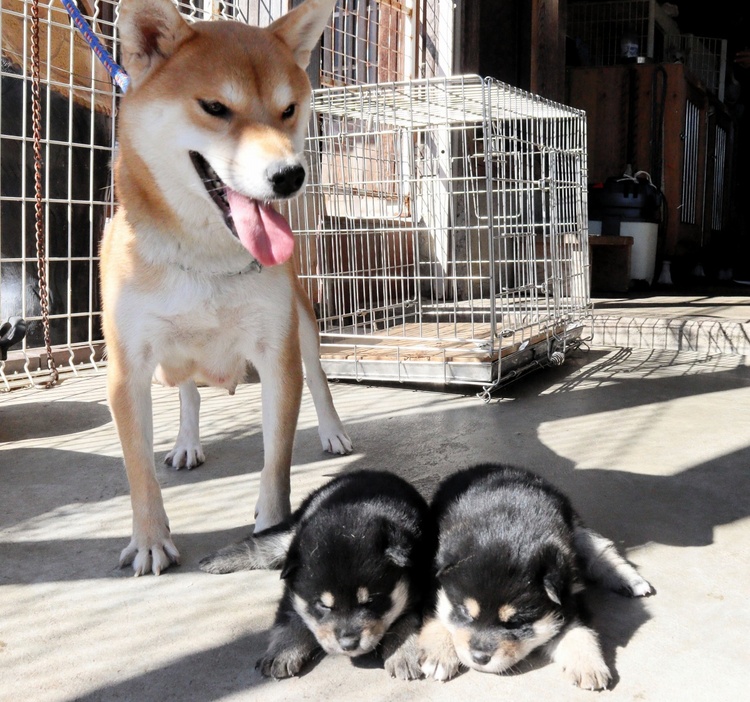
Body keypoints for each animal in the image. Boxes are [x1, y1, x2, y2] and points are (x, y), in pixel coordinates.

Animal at [100, 0, 352, 576]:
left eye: (288, 109)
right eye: (215, 107)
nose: (290, 175)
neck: (204, 260)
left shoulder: (277, 355)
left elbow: (276, 463)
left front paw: (271, 529)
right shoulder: (128, 369)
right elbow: (138, 470)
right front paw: (150, 539)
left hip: (304, 324)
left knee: (320, 379)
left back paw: (331, 430)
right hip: (170, 362)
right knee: (189, 393)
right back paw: (187, 443)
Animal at [200, 472, 438, 680]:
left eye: (370, 601)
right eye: (323, 605)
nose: (348, 644)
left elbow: (406, 620)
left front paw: (403, 652)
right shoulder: (292, 587)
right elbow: (290, 616)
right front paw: (282, 651)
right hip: (288, 537)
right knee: (262, 546)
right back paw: (215, 560)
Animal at [420, 464, 656, 692]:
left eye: (516, 622)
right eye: (464, 612)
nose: (479, 658)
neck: (505, 528)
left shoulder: (568, 594)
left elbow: (577, 628)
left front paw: (588, 665)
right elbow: (438, 613)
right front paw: (439, 652)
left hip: (576, 527)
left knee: (600, 550)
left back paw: (630, 580)